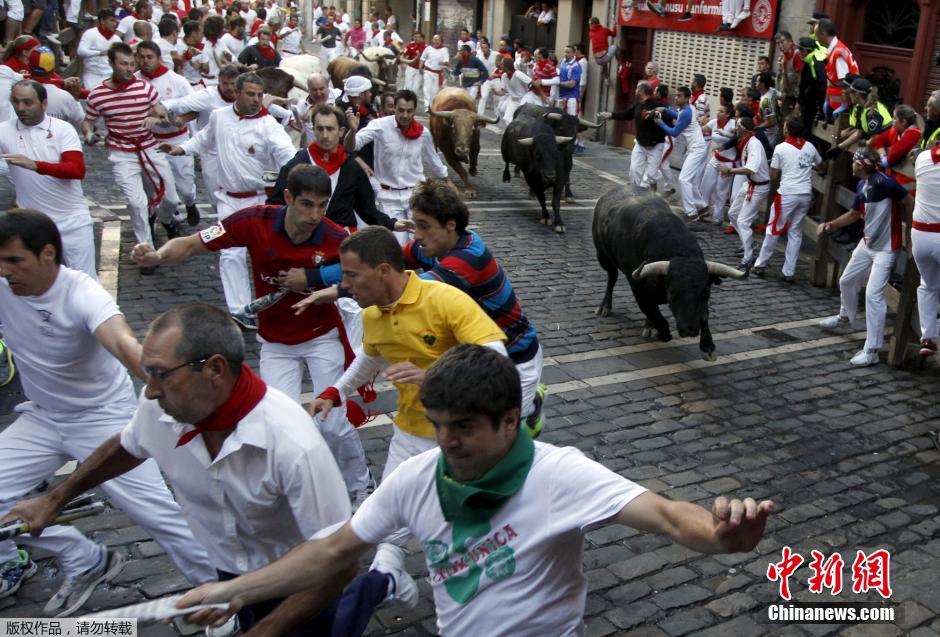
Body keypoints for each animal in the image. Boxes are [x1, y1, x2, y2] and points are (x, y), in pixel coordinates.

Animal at [596, 186, 748, 360]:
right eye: (672, 292)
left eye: (705, 292)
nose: (689, 329)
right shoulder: (638, 290)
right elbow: (658, 317)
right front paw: (663, 334)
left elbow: (703, 315)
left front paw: (707, 346)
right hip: (603, 256)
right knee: (612, 277)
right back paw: (605, 306)